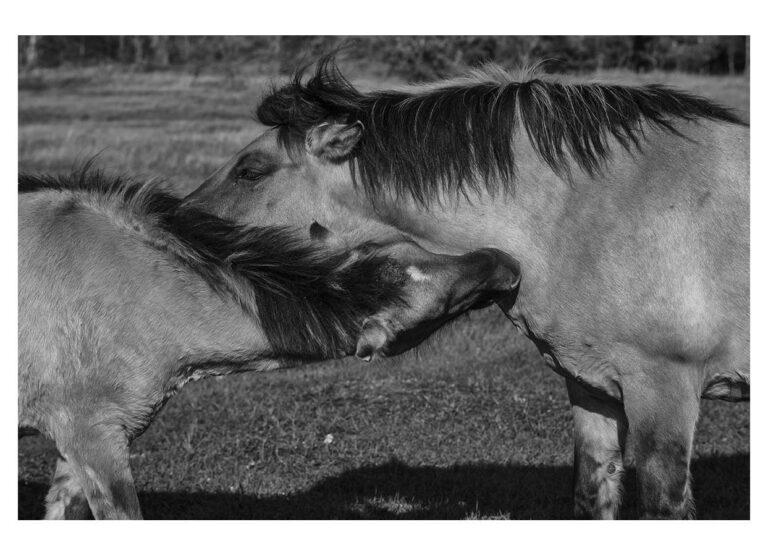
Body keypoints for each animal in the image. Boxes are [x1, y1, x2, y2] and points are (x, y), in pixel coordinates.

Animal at [18, 168, 522, 519]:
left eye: (412, 246)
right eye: (445, 299)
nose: (506, 261)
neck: (133, 287)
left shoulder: (80, 447)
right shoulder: (92, 437)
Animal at [182, 58, 750, 519]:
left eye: (250, 172)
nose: (181, 223)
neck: (594, 211)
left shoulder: (664, 393)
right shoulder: (592, 388)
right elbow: (594, 494)